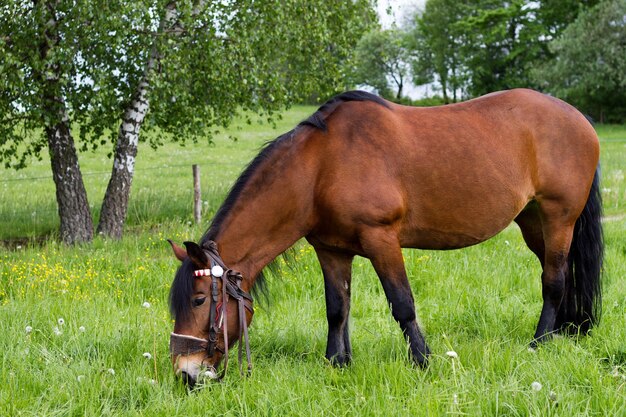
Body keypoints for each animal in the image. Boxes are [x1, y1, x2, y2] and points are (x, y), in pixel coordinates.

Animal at [166, 88, 600, 386]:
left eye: (200, 299)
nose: (186, 374)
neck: (320, 168)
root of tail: (580, 119)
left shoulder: (382, 241)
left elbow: (402, 304)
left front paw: (423, 362)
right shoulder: (331, 250)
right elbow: (337, 308)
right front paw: (337, 363)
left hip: (559, 217)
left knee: (554, 280)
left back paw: (540, 342)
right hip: (532, 222)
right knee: (557, 274)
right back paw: (565, 331)